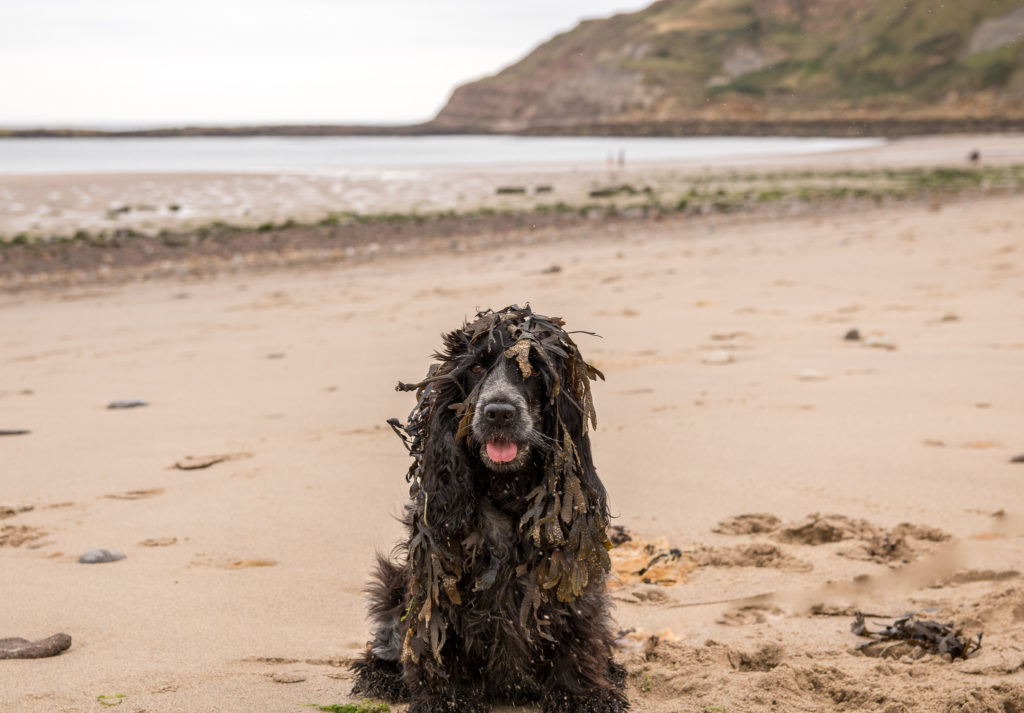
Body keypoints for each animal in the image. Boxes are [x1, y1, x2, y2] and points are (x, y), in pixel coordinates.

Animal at [350, 305, 622, 713]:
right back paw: (381, 675)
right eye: (477, 368)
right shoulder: (439, 582)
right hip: (396, 583)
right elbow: (439, 642)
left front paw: (581, 696)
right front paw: (447, 699)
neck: (505, 492)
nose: (499, 413)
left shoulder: (567, 582)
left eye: (535, 371)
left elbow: (576, 635)